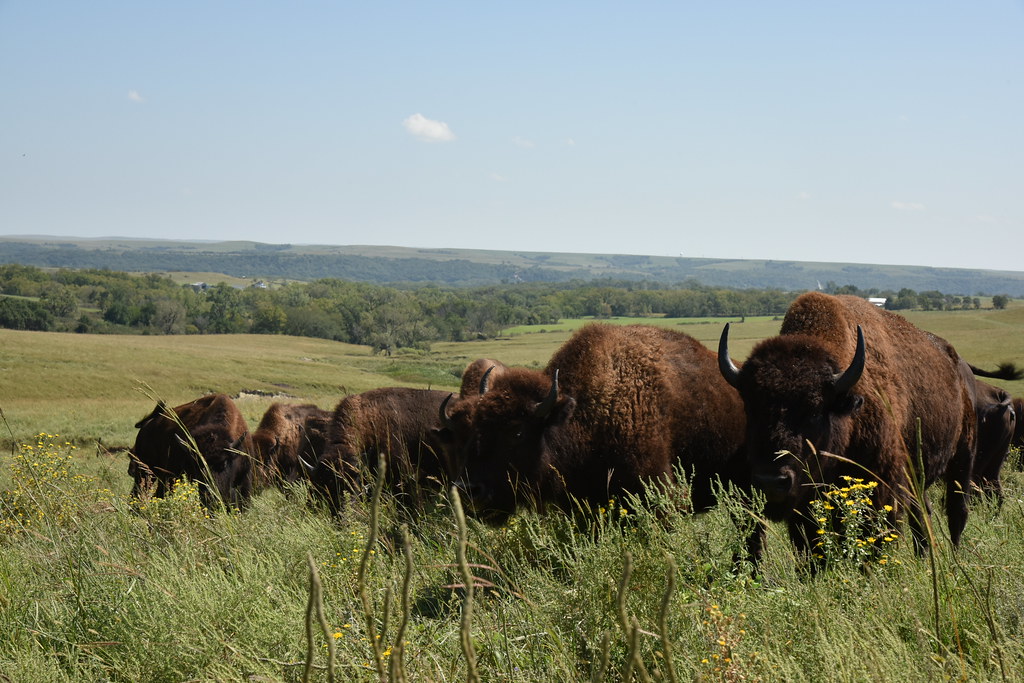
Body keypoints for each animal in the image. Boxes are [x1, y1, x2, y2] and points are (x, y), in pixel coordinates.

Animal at [718, 292, 1018, 559]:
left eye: (814, 410)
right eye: (751, 406)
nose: (771, 481)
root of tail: (960, 365)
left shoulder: (882, 487)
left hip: (963, 457)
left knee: (957, 511)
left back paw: (953, 562)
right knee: (923, 513)